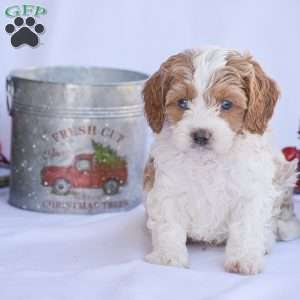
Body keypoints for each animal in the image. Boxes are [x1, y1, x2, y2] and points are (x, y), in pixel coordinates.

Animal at [142, 48, 300, 276]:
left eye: (226, 104)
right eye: (182, 103)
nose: (200, 135)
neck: (208, 161)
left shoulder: (250, 193)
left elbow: (246, 227)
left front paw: (243, 259)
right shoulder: (166, 189)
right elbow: (167, 223)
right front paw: (168, 258)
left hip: (284, 173)